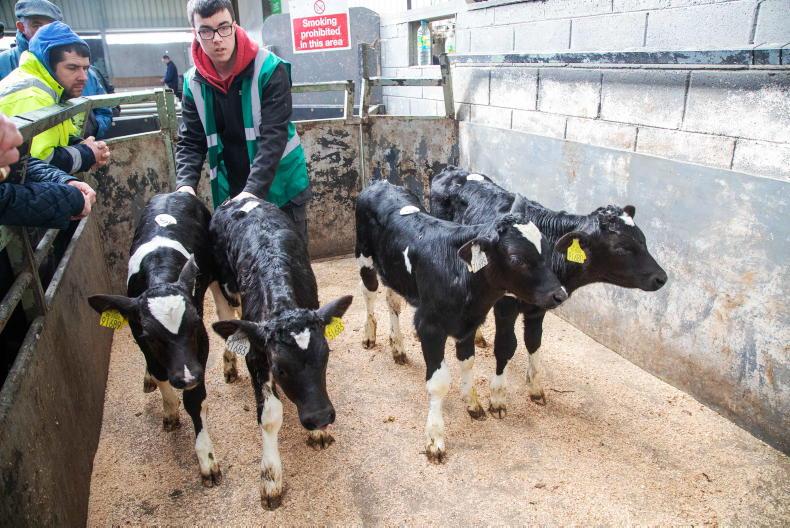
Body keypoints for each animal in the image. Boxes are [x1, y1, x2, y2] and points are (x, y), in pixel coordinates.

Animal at [87, 192, 224, 487]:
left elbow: (195, 401)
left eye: (195, 325)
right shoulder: (140, 337)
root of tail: (178, 192)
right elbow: (161, 375)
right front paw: (170, 411)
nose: (187, 377)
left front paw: (207, 461)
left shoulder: (200, 348)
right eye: (152, 336)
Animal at [209, 197, 352, 509]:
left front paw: (318, 433)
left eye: (326, 357)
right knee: (225, 313)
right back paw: (228, 364)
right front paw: (271, 479)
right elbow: (270, 415)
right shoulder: (256, 356)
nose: (319, 416)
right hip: (218, 280)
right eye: (280, 369)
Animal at [356, 180, 568, 463]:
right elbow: (438, 383)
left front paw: (473, 403)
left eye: (546, 248)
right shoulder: (430, 326)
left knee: (393, 301)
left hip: (394, 272)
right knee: (369, 293)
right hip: (364, 257)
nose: (560, 294)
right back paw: (370, 336)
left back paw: (397, 348)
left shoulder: (468, 322)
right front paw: (435, 439)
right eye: (517, 259)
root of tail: (380, 182)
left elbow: (468, 363)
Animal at [430, 167, 668, 416]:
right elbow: (506, 346)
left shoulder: (540, 307)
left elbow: (534, 341)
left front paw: (535, 389)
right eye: (621, 248)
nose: (662, 277)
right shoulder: (506, 307)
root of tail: (452, 169)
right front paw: (497, 399)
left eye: (643, 239)